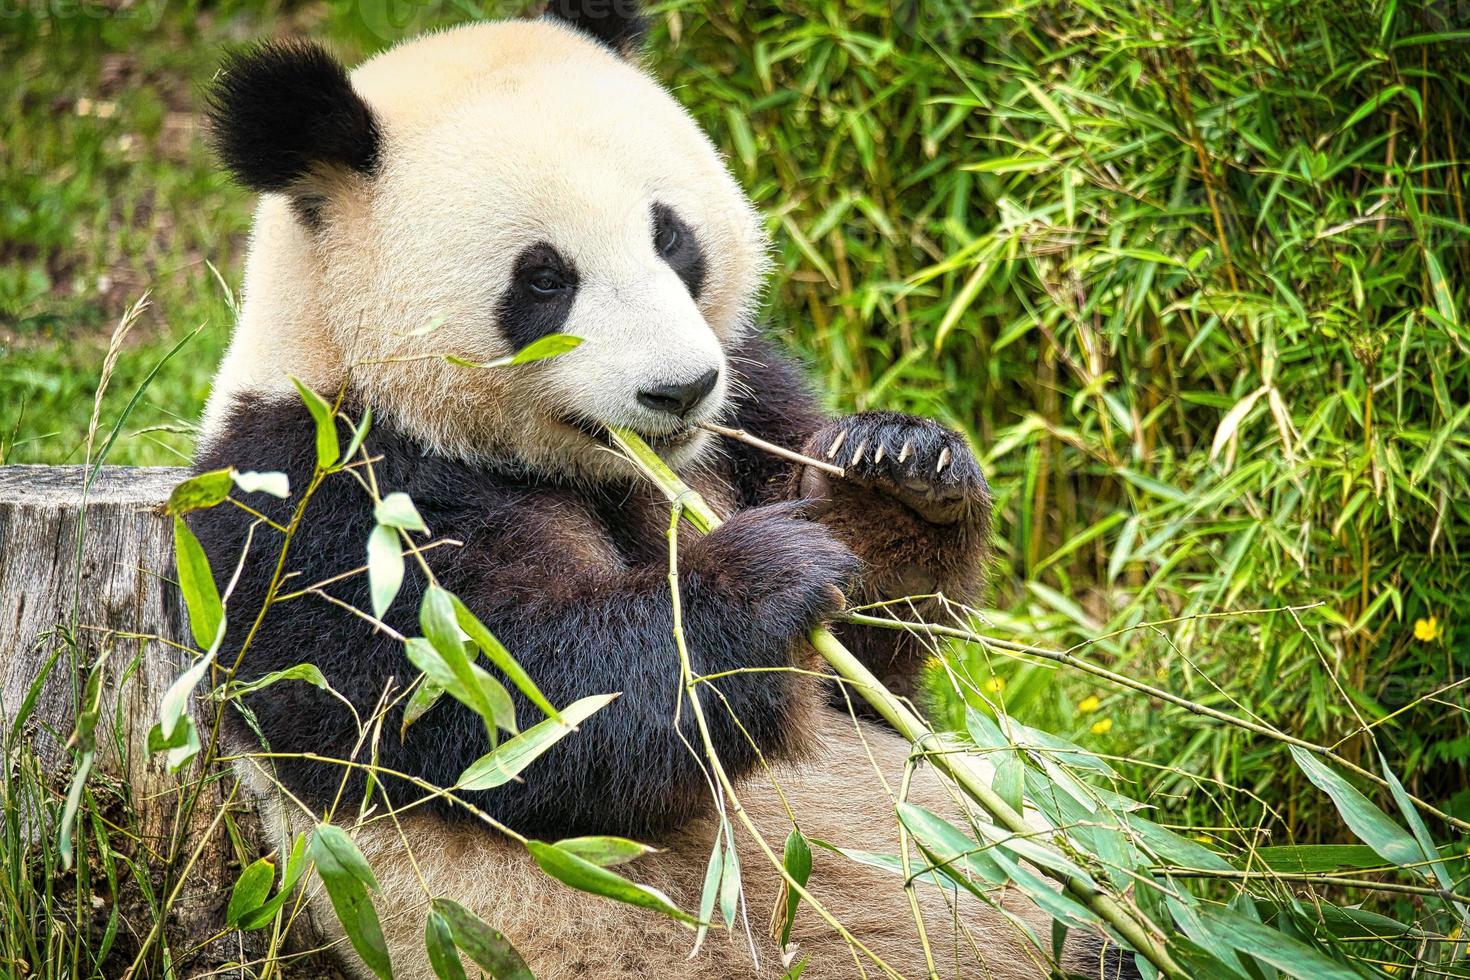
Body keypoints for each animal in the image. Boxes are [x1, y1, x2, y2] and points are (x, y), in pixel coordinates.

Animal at [189, 3, 1140, 975]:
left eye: (669, 234)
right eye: (544, 277)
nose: (680, 390)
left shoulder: (746, 401)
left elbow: (869, 673)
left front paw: (898, 472)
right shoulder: (322, 499)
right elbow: (522, 702)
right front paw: (763, 580)